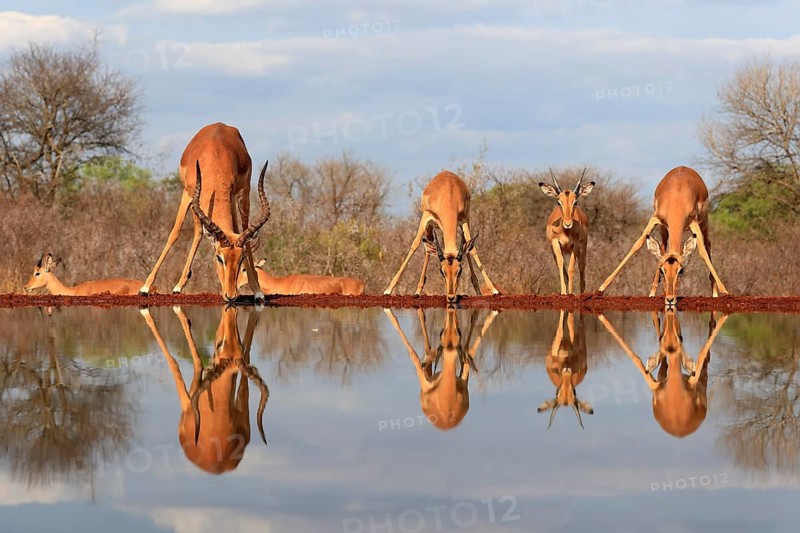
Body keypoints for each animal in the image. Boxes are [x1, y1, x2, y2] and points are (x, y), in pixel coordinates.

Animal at [138, 123, 270, 303]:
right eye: (219, 258)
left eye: (241, 258)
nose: (230, 295)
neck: (214, 158)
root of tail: (220, 124)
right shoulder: (188, 194)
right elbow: (176, 233)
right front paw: (145, 287)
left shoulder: (231, 194)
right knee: (199, 233)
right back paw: (178, 285)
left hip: (243, 194)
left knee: (243, 231)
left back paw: (257, 291)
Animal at [384, 171, 500, 303]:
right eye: (441, 271)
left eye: (459, 271)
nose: (451, 296)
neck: (449, 194)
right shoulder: (426, 216)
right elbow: (415, 244)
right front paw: (388, 290)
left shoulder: (465, 219)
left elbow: (472, 249)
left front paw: (492, 289)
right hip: (429, 227)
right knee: (427, 247)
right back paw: (417, 291)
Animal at [597, 166, 729, 307]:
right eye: (662, 270)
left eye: (681, 271)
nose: (670, 299)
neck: (677, 197)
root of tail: (683, 167)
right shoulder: (655, 218)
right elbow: (637, 244)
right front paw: (601, 288)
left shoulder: (694, 223)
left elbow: (703, 252)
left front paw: (725, 291)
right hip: (664, 228)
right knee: (662, 245)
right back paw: (653, 292)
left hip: (704, 222)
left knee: (707, 244)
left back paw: (714, 292)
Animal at [599, 309, 728, 438]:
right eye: (663, 337)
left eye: (680, 337)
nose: (670, 315)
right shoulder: (655, 384)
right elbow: (636, 358)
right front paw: (601, 315)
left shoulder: (693, 379)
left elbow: (702, 353)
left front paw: (723, 316)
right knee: (664, 362)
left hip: (701, 379)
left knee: (705, 360)